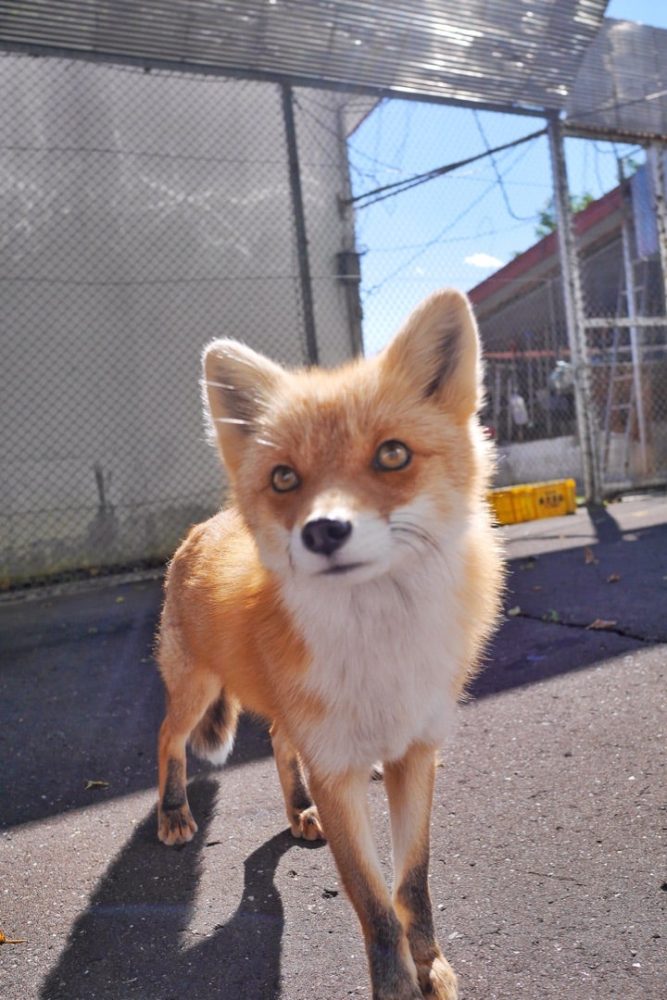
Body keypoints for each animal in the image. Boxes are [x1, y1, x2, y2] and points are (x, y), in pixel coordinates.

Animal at [155, 290, 500, 1000]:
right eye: (286, 478)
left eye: (392, 455)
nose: (322, 532)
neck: (382, 653)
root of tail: (207, 525)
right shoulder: (337, 769)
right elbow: (374, 905)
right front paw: (397, 986)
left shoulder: (415, 754)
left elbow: (413, 884)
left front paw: (430, 967)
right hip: (197, 687)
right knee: (168, 738)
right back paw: (172, 813)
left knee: (278, 742)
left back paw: (296, 811)